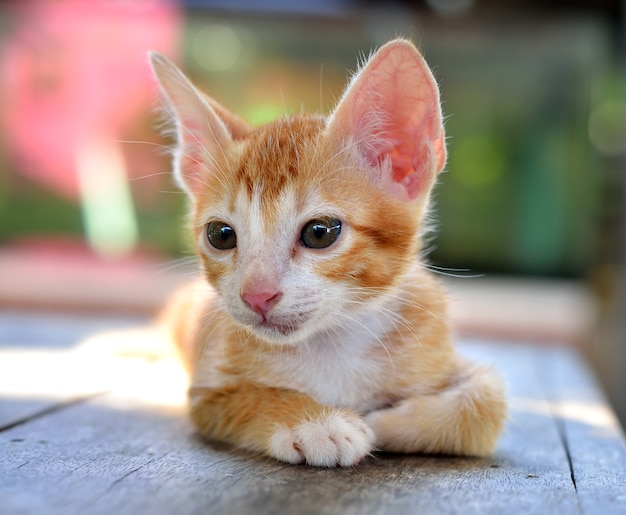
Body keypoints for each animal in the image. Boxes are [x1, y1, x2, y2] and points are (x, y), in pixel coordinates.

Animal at [151, 40, 508, 468]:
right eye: (220, 235)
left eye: (319, 233)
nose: (257, 295)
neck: (333, 338)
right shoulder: (206, 391)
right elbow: (249, 398)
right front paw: (316, 423)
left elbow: (488, 401)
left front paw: (385, 423)